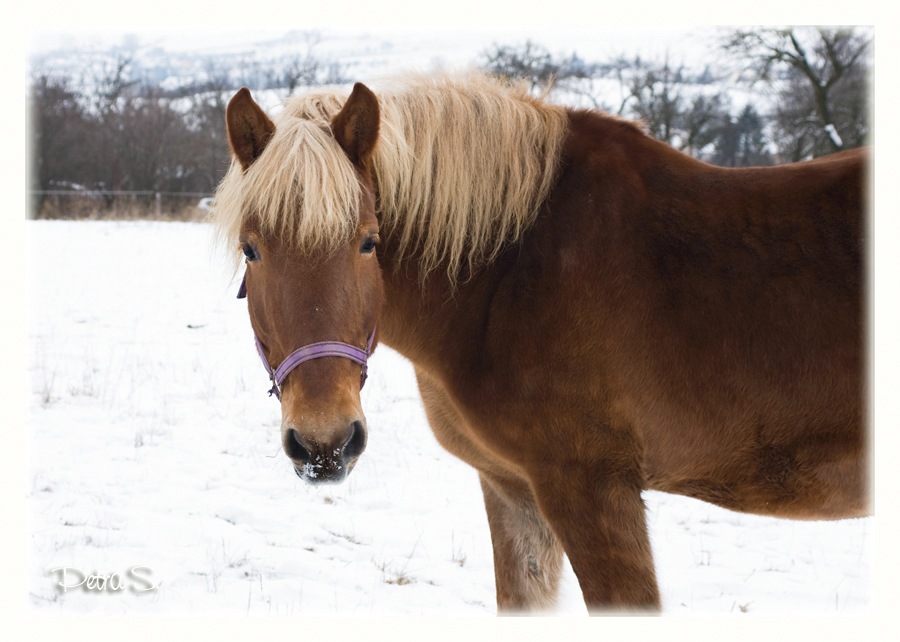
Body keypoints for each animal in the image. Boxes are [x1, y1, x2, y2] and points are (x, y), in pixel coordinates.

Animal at [211, 72, 864, 612]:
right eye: (251, 248)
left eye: (369, 242)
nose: (324, 444)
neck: (511, 268)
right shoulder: (512, 490)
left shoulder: (592, 490)